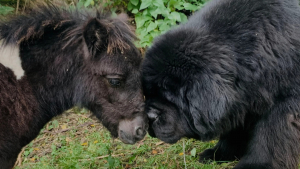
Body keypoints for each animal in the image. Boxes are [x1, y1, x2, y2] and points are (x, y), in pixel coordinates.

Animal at [142, 0, 300, 168]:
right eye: (147, 94)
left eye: (171, 99)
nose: (149, 116)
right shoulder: (240, 99)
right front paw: (220, 153)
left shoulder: (284, 105)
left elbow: (271, 137)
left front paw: (256, 164)